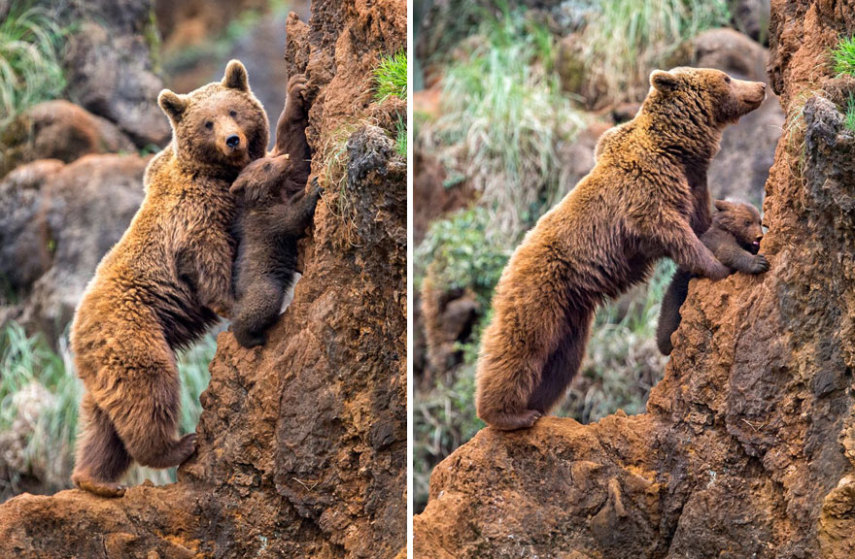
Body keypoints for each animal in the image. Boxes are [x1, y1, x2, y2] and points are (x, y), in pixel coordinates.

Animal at [70, 62, 268, 498]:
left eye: (234, 110)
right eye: (208, 122)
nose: (232, 139)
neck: (218, 175)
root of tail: (76, 332)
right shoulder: (193, 215)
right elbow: (207, 257)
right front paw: (235, 303)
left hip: (101, 368)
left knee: (102, 420)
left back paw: (95, 480)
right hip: (133, 328)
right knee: (149, 386)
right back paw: (180, 445)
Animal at [227, 74, 320, 346]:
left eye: (269, 159)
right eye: (267, 166)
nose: (283, 158)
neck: (271, 196)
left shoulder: (287, 187)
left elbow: (297, 150)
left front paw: (297, 89)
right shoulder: (269, 221)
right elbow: (292, 218)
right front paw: (315, 187)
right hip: (264, 284)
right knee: (256, 309)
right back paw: (253, 338)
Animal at [660, 199, 772, 354]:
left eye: (760, 222)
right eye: (747, 222)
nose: (759, 236)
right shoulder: (717, 240)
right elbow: (728, 251)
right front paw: (758, 262)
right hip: (681, 286)